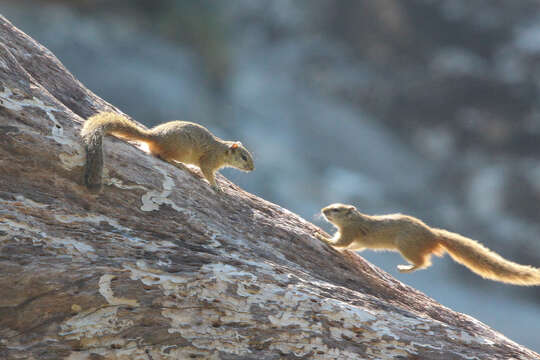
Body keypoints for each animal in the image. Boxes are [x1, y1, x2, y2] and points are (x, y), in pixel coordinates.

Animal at [80, 113, 255, 193]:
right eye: (244, 157)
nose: (252, 169)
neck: (222, 151)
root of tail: (154, 137)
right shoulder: (208, 161)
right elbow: (207, 172)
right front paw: (216, 186)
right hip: (181, 150)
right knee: (161, 155)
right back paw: (179, 165)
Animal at [316, 204, 540, 286]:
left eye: (336, 210)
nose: (323, 210)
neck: (355, 220)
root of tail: (434, 235)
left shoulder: (349, 233)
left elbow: (340, 243)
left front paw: (322, 238)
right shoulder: (358, 241)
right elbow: (353, 247)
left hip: (406, 247)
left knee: (424, 263)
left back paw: (403, 268)